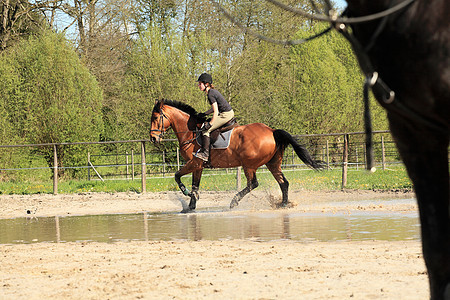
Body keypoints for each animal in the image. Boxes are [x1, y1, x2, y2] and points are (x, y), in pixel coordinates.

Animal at [149, 99, 322, 212]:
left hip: (249, 165)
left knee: (253, 184)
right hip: (273, 163)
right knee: (283, 183)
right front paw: (191, 205)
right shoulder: (198, 166)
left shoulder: (194, 163)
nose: (153, 138)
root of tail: (272, 131)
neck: (191, 132)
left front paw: (187, 194)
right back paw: (283, 204)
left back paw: (234, 202)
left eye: (156, 118)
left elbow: (177, 176)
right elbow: (195, 184)